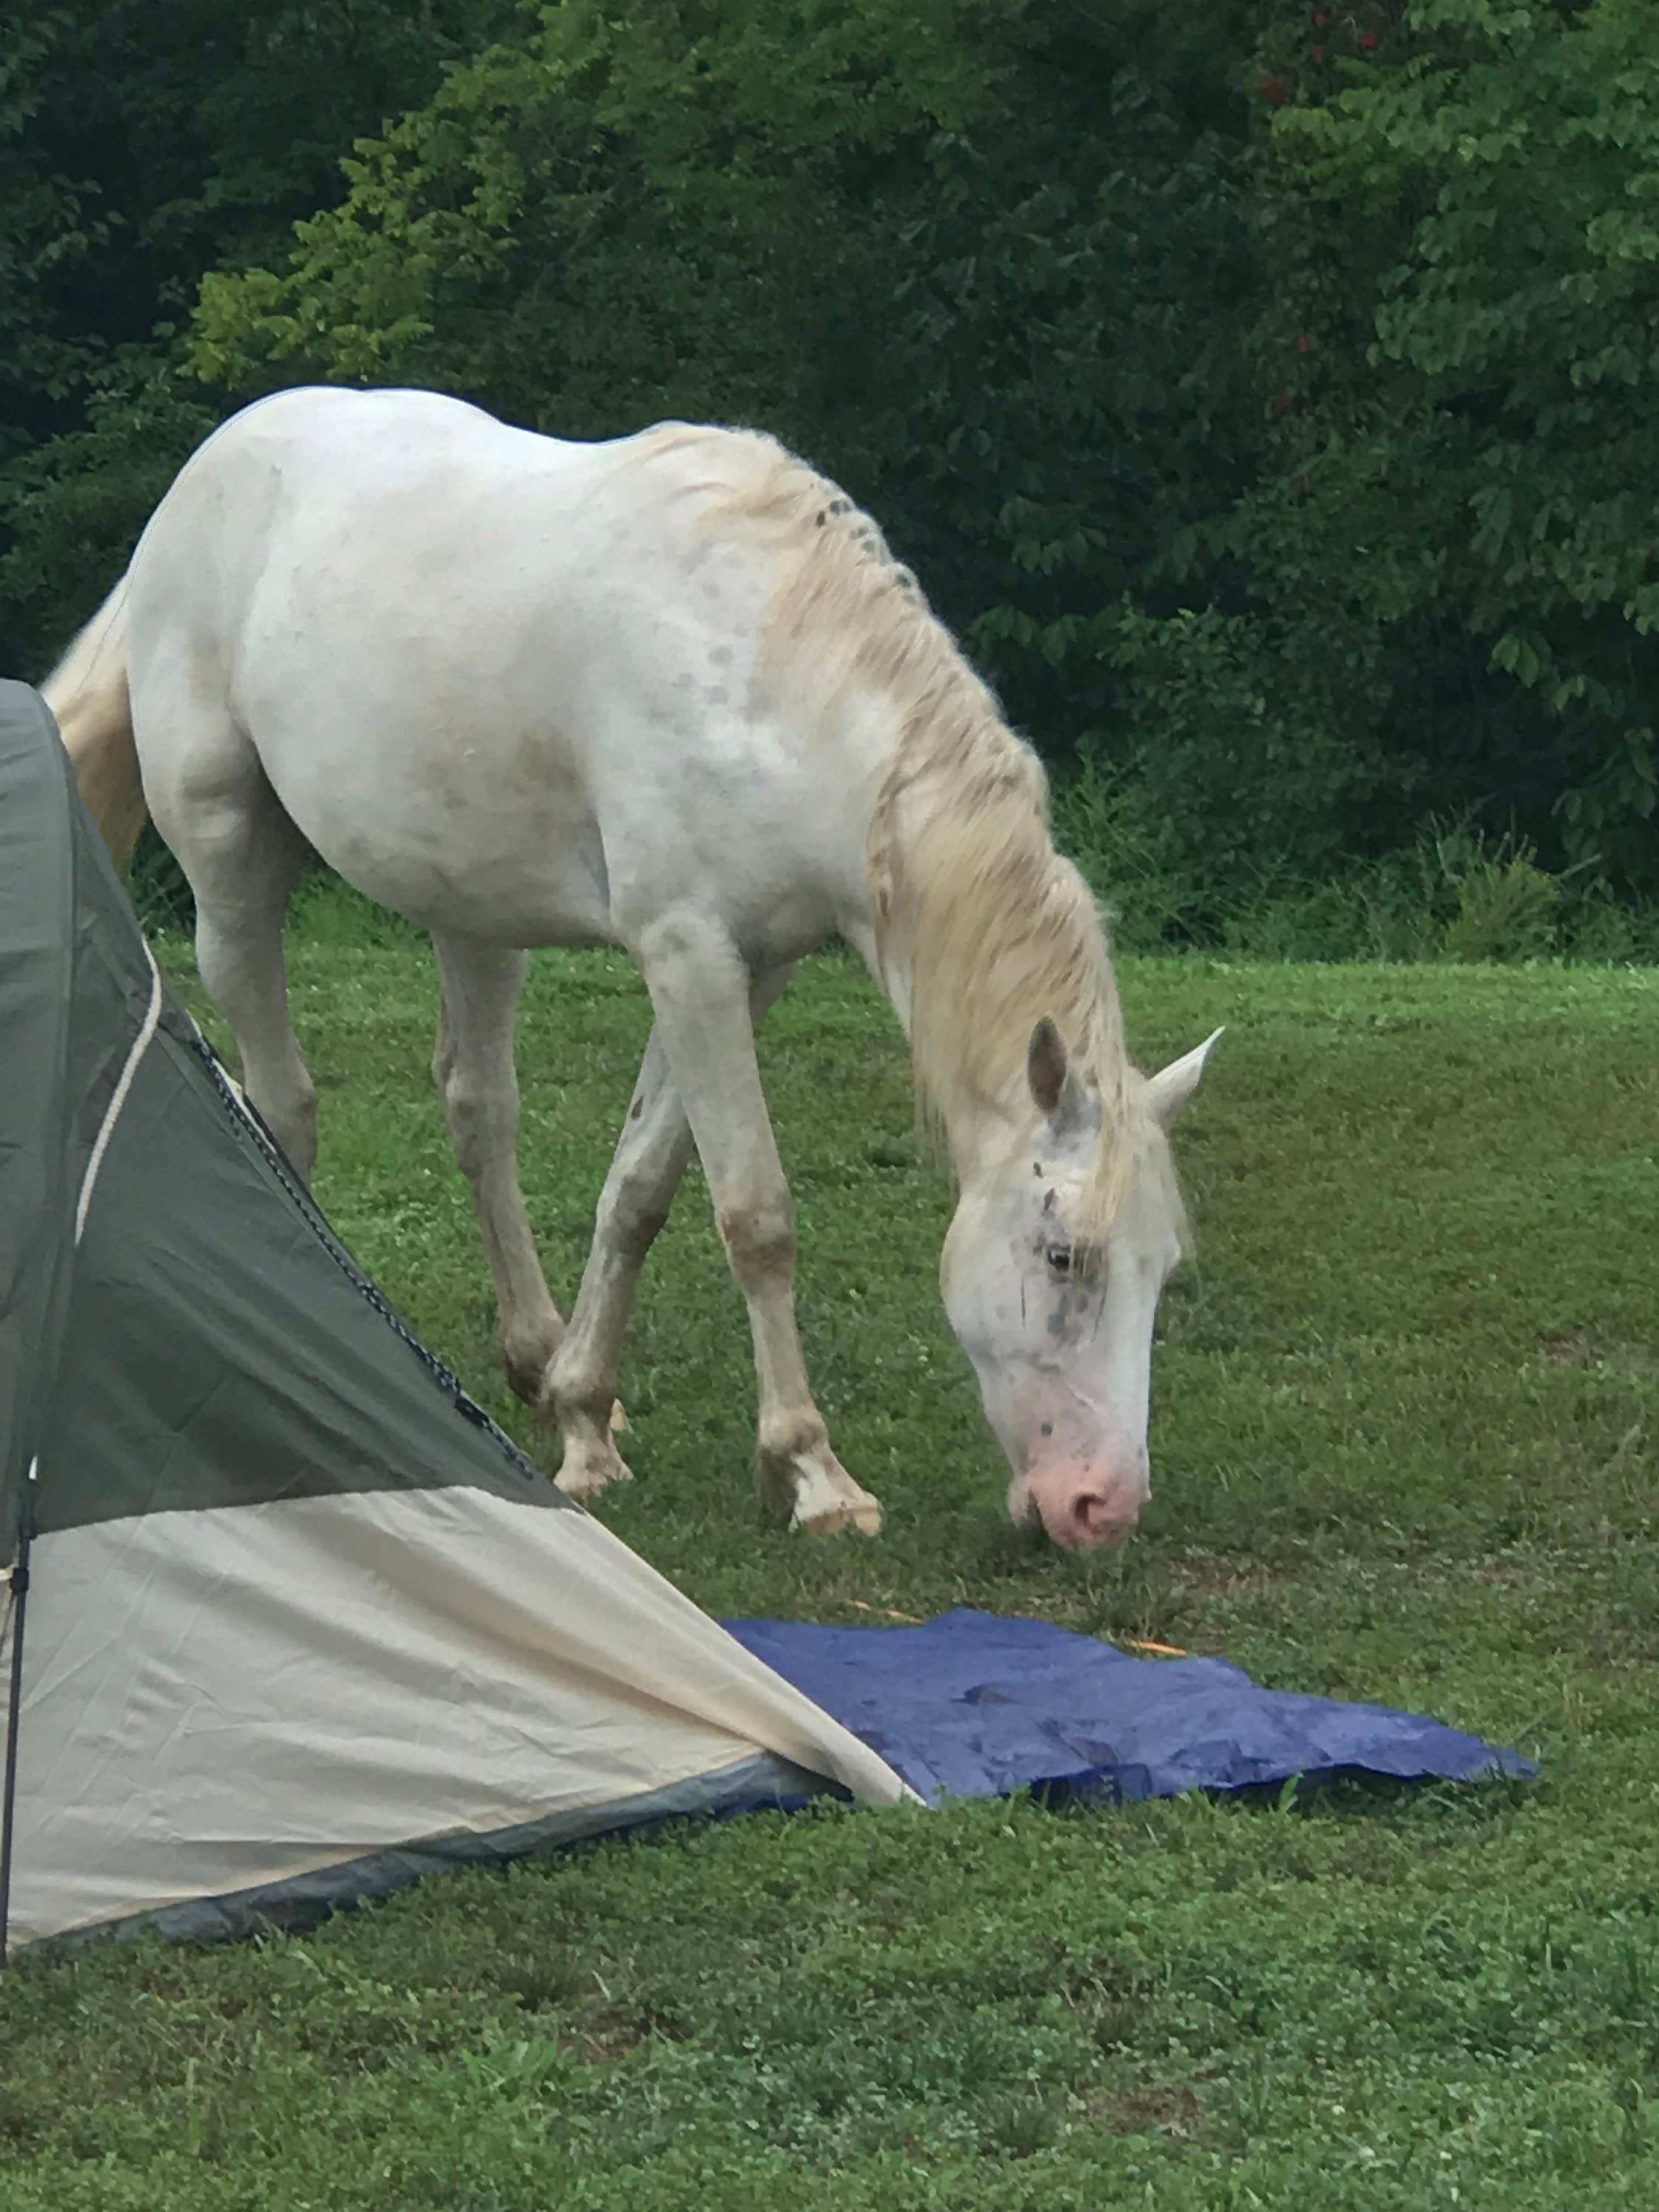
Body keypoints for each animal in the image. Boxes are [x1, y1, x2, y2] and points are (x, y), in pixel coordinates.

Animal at [45, 386, 1218, 1550]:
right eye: (1062, 1254)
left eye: (1162, 1267)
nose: (1102, 1503)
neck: (774, 684)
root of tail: (205, 472)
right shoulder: (687, 953)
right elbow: (753, 1212)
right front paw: (810, 1471)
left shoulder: (745, 969)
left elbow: (640, 1189)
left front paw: (584, 1418)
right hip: (229, 871)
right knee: (282, 1106)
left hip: (472, 913)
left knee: (479, 1114)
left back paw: (530, 1356)